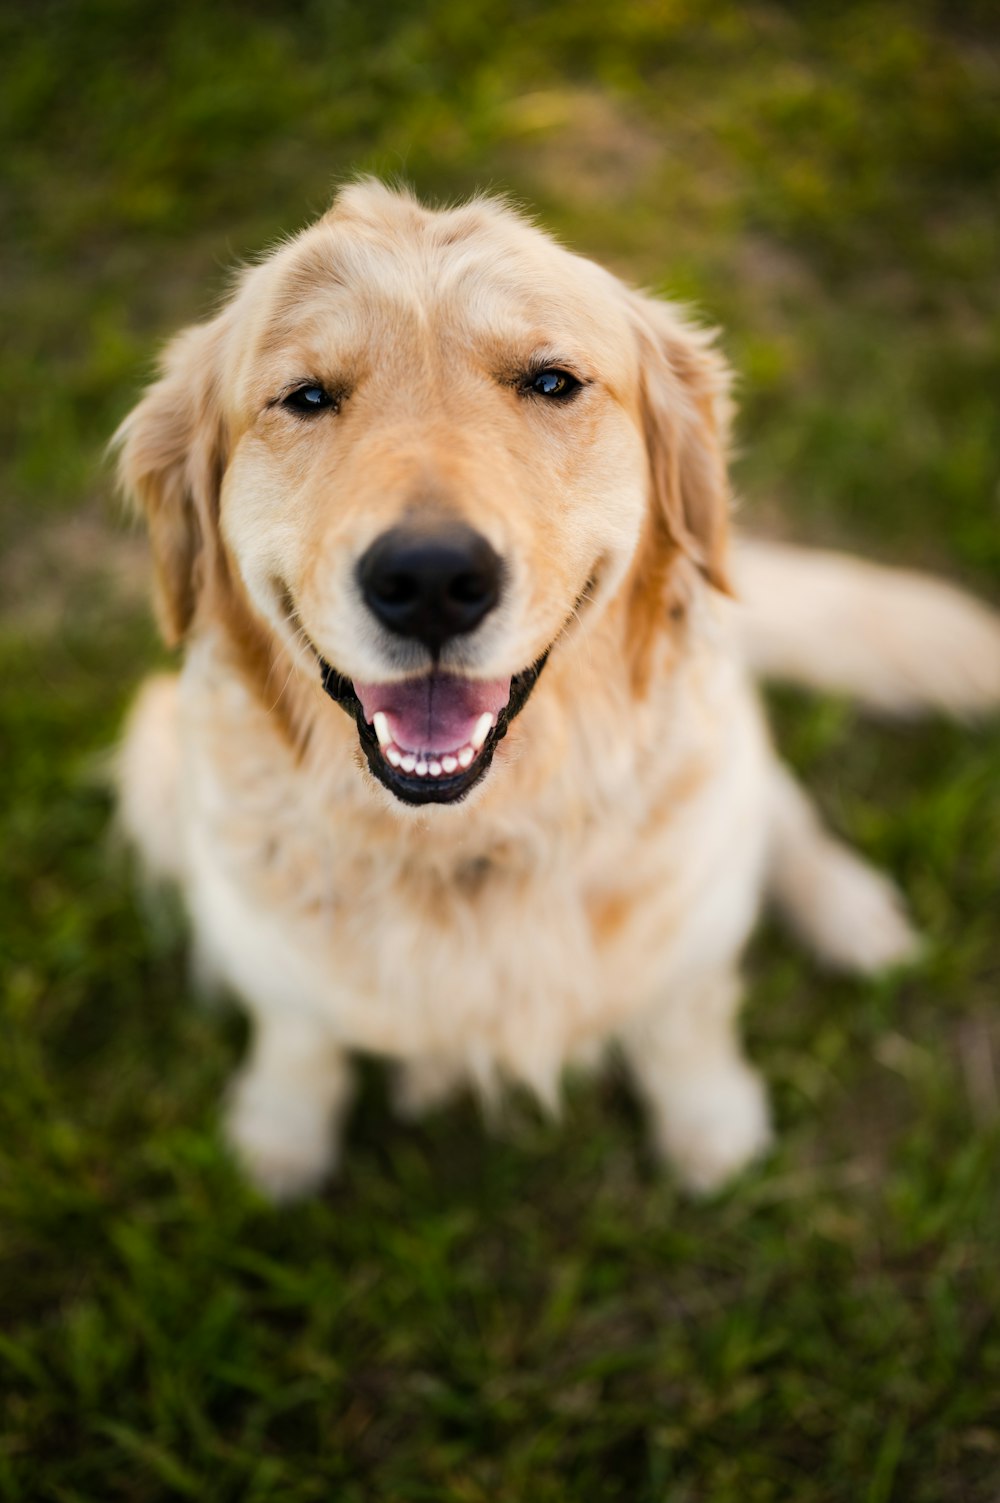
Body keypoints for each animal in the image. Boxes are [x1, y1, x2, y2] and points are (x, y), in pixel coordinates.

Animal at [112, 181, 998, 1202]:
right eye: (306, 396)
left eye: (550, 382)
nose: (430, 578)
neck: (473, 842)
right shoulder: (260, 934)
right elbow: (300, 1033)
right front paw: (281, 1135)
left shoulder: (687, 911)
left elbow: (685, 1014)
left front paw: (712, 1126)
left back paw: (850, 911)